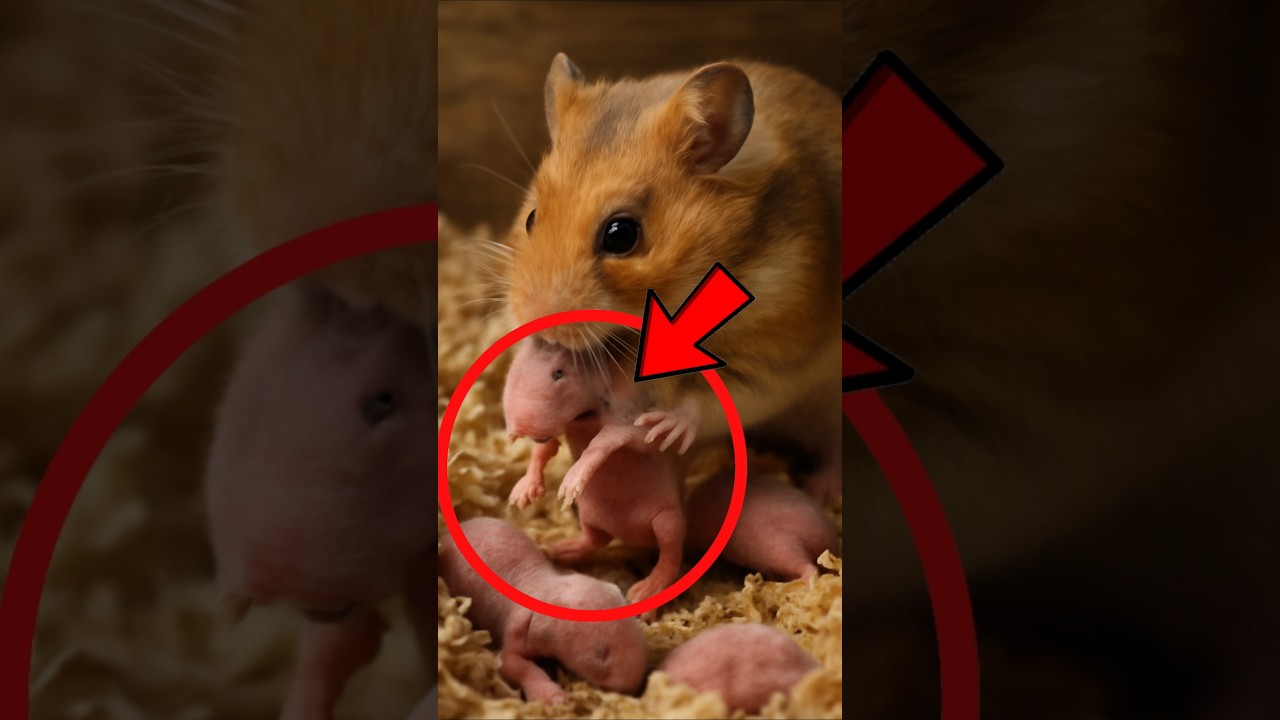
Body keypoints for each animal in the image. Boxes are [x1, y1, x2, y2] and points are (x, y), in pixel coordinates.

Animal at [500, 54, 842, 502]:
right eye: (531, 218)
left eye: (621, 235)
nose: (540, 327)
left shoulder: (775, 361)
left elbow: (713, 399)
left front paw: (663, 427)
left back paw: (822, 491)